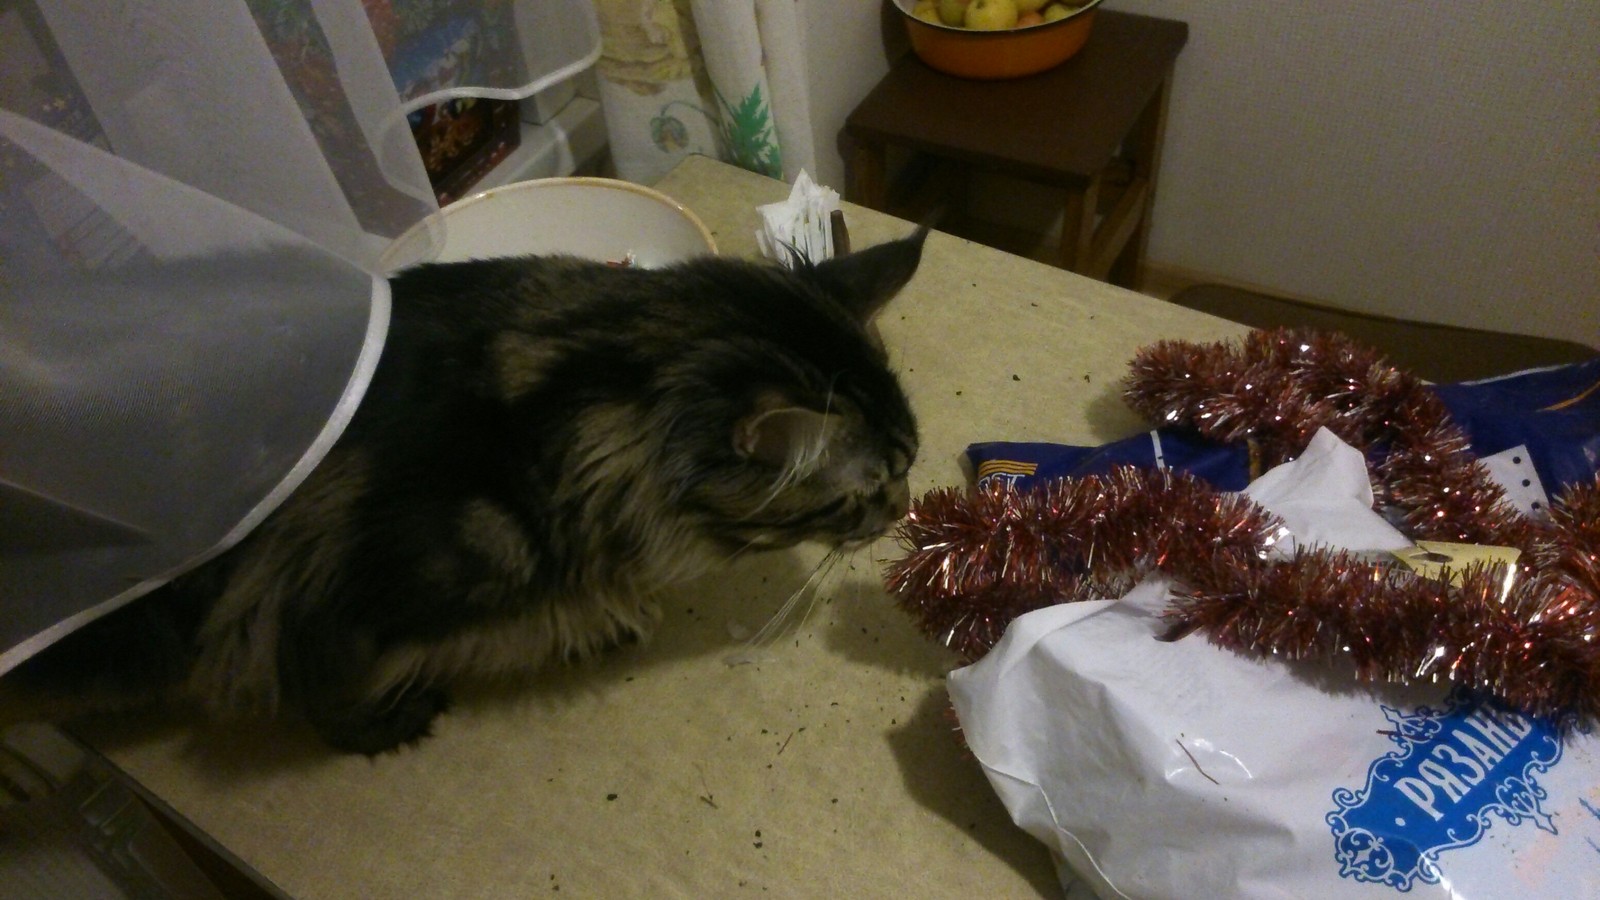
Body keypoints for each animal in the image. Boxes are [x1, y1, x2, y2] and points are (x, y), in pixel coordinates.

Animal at [11, 228, 926, 755]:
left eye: (911, 464)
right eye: (864, 493)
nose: (905, 508)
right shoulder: (314, 605)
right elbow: (323, 691)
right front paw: (388, 725)